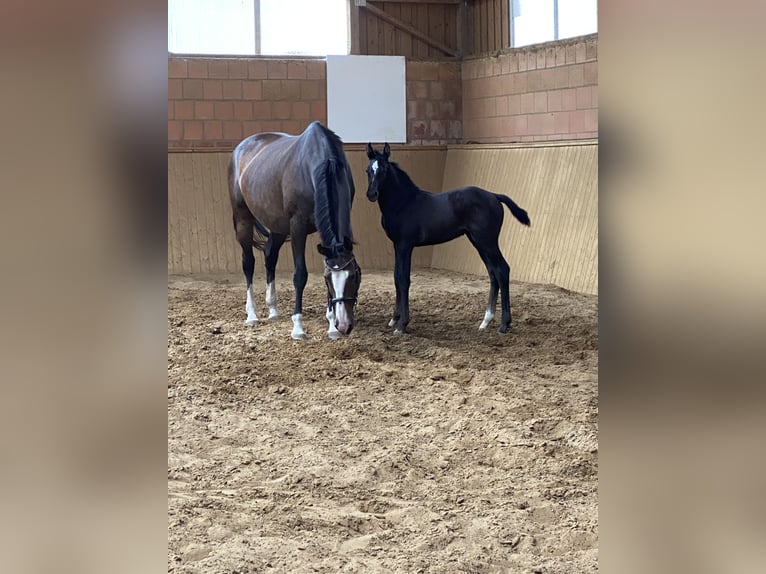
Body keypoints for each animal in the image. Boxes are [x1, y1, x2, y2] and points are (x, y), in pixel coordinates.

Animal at [368, 142, 536, 336]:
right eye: (368, 170)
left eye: (383, 170)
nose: (371, 194)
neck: (403, 203)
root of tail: (494, 195)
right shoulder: (397, 245)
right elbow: (396, 278)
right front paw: (394, 319)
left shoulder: (405, 245)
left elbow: (403, 280)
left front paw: (402, 324)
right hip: (478, 242)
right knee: (493, 272)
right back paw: (485, 321)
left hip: (487, 241)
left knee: (502, 270)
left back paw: (504, 324)